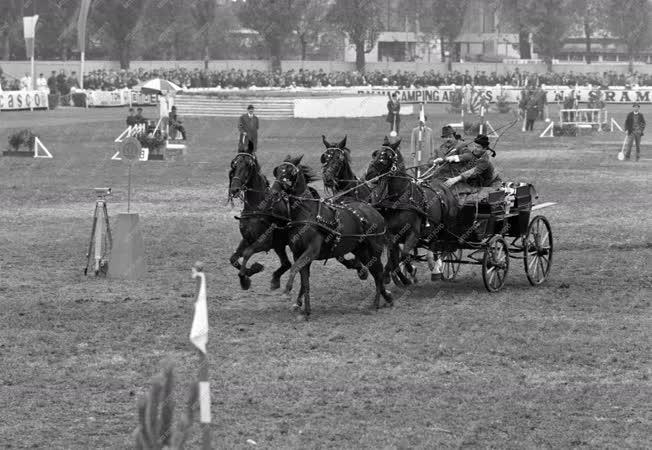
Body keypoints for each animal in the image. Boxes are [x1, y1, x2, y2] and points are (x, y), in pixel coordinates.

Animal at [228, 148, 292, 290]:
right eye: (234, 164)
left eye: (248, 165)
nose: (234, 189)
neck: (257, 207)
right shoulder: (247, 239)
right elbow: (233, 259)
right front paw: (250, 272)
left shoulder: (264, 242)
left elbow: (247, 253)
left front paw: (246, 276)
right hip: (279, 246)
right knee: (287, 264)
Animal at [270, 156, 392, 318]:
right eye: (277, 171)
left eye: (289, 172)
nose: (273, 192)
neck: (307, 215)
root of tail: (375, 211)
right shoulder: (298, 253)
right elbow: (304, 280)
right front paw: (305, 310)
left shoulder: (311, 251)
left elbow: (295, 268)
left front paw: (287, 289)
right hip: (362, 251)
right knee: (374, 271)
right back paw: (384, 298)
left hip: (374, 251)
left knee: (378, 273)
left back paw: (376, 304)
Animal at [362, 136, 458, 284]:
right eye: (375, 153)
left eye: (385, 157)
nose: (369, 175)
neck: (399, 198)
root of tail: (444, 187)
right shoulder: (392, 236)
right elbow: (394, 257)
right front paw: (395, 276)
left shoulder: (414, 234)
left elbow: (404, 254)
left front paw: (411, 271)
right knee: (434, 246)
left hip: (445, 228)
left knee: (443, 248)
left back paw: (438, 268)